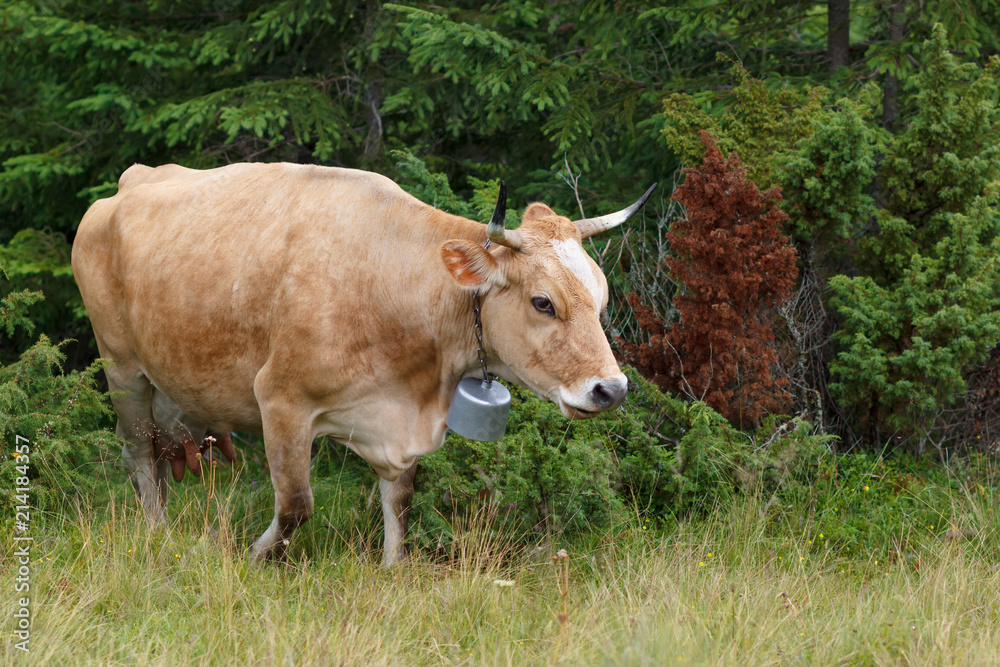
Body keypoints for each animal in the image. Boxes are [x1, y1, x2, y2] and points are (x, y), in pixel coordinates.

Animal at [76, 163, 656, 564]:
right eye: (543, 302)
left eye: (601, 297)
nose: (611, 389)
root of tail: (132, 180)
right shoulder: (281, 399)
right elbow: (295, 505)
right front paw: (253, 558)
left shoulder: (398, 427)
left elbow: (400, 501)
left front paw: (393, 568)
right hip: (122, 368)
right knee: (139, 456)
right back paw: (158, 533)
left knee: (159, 453)